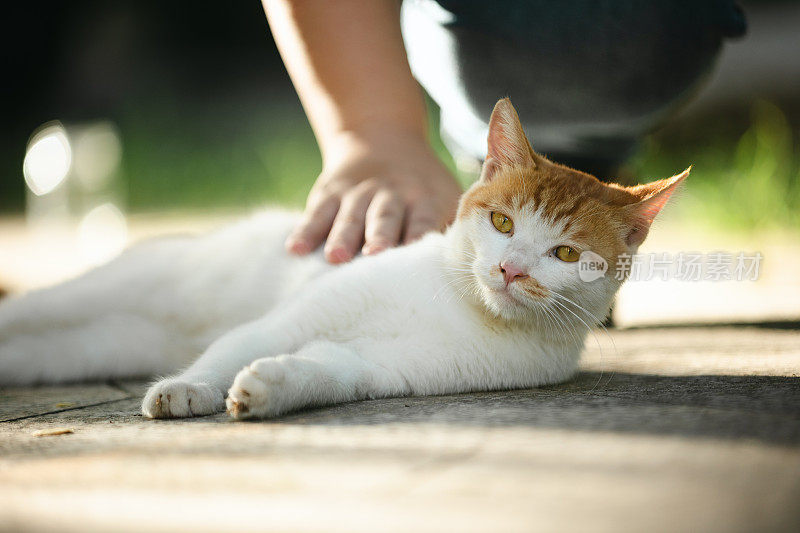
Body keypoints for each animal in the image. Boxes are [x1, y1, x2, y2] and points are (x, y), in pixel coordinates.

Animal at [0, 97, 688, 418]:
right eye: (502, 222)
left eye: (565, 253)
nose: (511, 268)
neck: (461, 308)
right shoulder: (300, 314)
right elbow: (240, 342)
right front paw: (190, 387)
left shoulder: (386, 368)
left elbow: (330, 370)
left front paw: (268, 388)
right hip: (122, 287)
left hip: (92, 347)